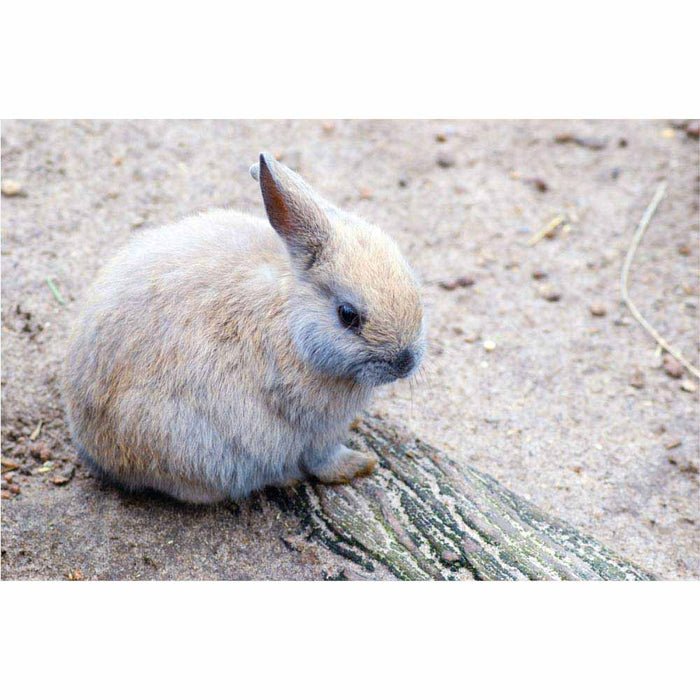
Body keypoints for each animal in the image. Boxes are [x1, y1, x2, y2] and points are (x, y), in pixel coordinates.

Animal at [63, 152, 425, 503]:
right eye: (347, 315)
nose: (405, 362)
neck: (292, 319)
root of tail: (97, 452)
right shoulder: (313, 428)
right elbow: (323, 460)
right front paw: (360, 465)